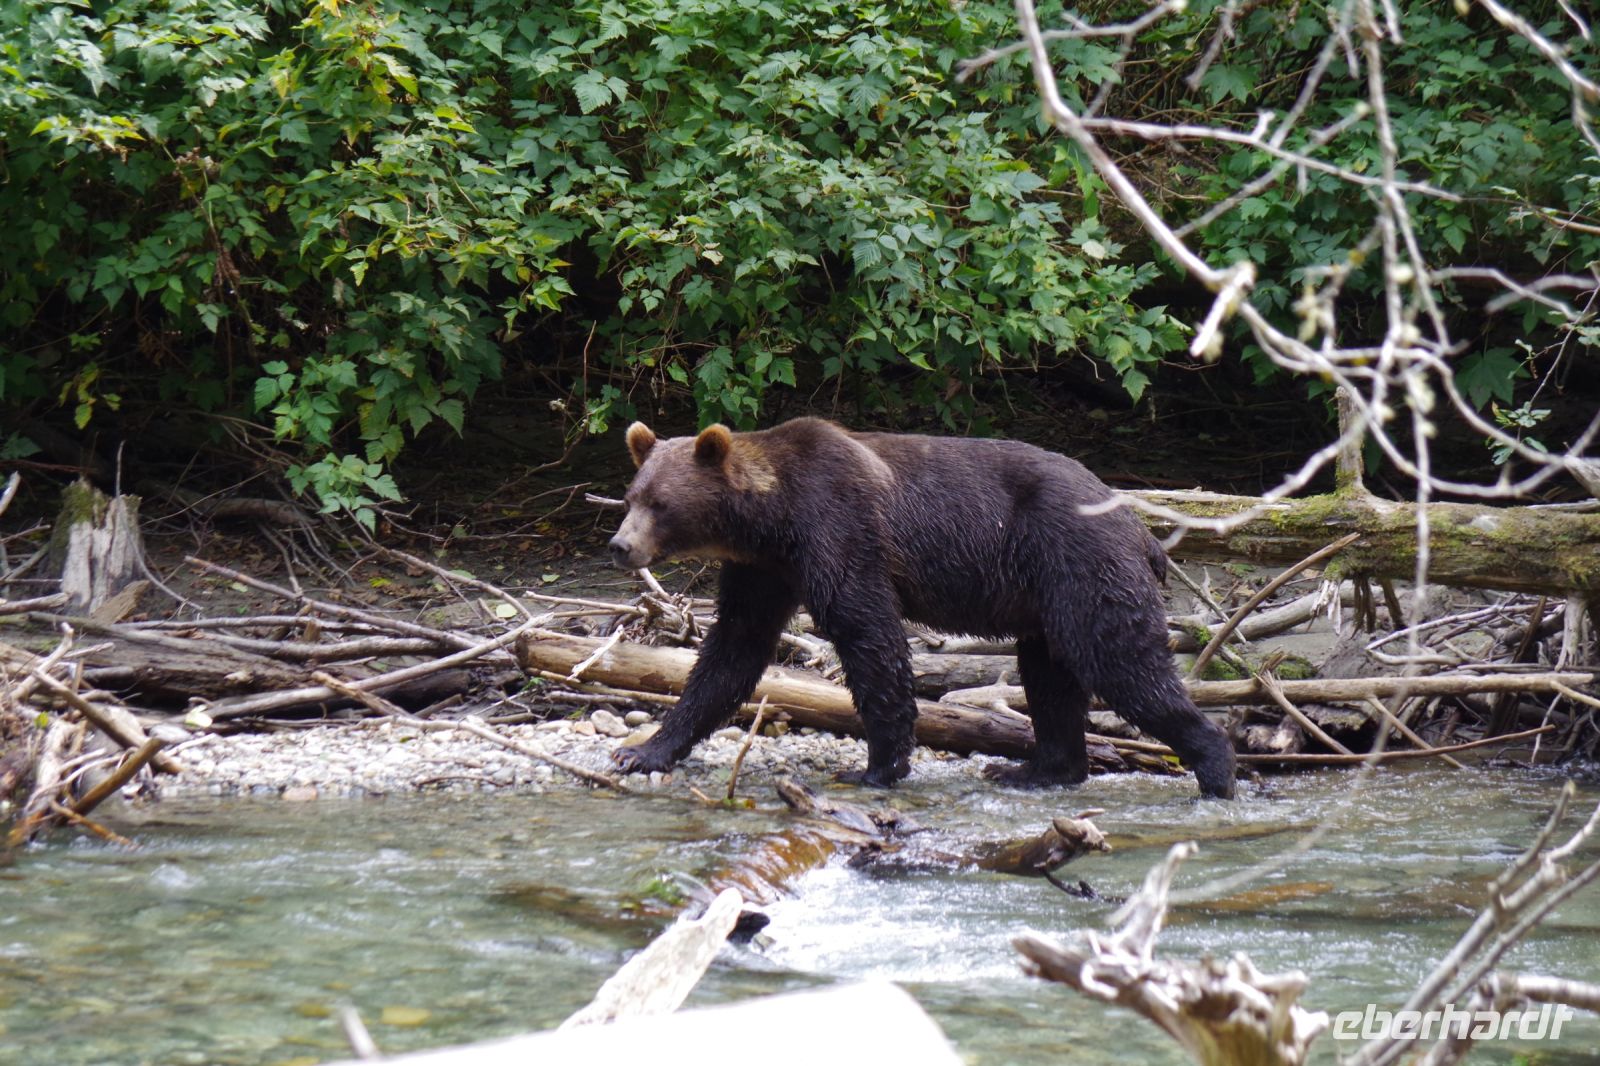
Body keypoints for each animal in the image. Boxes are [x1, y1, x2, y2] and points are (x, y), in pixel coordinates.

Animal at [607, 417, 1236, 798]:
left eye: (660, 504)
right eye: (631, 496)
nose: (620, 545)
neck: (771, 519)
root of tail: (1139, 526)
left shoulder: (840, 529)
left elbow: (868, 635)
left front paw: (874, 766)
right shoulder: (764, 571)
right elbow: (731, 651)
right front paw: (643, 751)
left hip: (1078, 560)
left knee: (1116, 657)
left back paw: (1214, 765)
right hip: (1045, 592)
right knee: (1050, 675)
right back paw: (1035, 768)